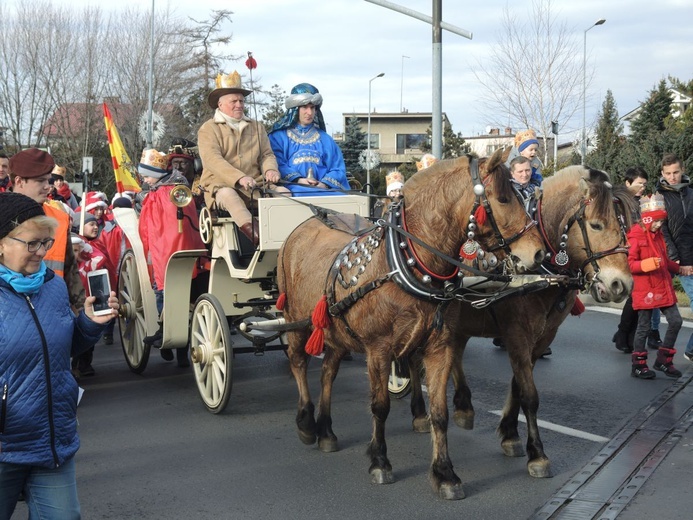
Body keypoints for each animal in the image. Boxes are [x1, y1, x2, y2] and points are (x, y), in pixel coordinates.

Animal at [276, 151, 548, 500]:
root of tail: (300, 229)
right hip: (296, 321)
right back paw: (307, 423)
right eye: (503, 198)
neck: (403, 262)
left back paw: (326, 430)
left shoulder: (439, 347)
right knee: (298, 362)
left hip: (336, 331)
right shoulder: (378, 349)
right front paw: (380, 461)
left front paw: (444, 473)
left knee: (327, 372)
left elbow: (440, 413)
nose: (537, 252)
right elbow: (380, 406)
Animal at [406, 165, 636, 482]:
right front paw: (537, 453)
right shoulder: (516, 335)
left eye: (623, 227)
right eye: (597, 225)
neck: (540, 273)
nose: (621, 285)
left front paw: (510, 433)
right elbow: (530, 395)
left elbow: (518, 386)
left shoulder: (541, 339)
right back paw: (418, 411)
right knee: (412, 360)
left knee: (455, 356)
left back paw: (463, 406)